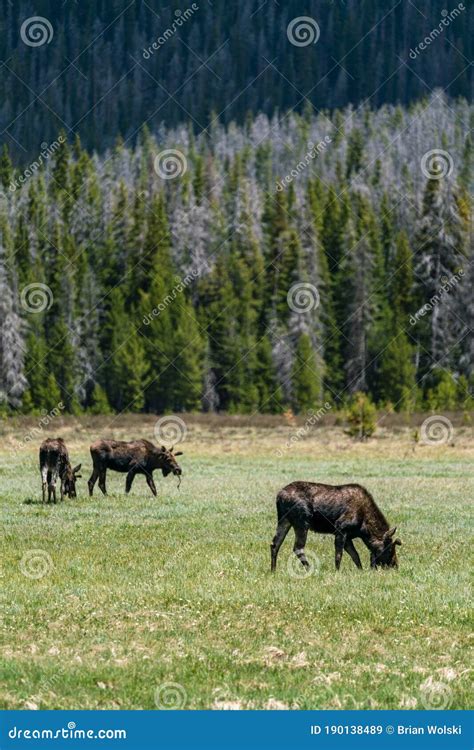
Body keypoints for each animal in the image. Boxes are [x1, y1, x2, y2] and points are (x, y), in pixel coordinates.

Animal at [270, 482, 400, 576]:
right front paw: (337, 572)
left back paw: (273, 571)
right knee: (298, 548)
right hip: (302, 522)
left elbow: (355, 555)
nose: (395, 565)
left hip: (284, 520)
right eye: (390, 549)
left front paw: (361, 570)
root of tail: (278, 496)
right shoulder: (340, 529)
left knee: (275, 544)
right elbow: (339, 555)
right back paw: (311, 570)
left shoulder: (348, 537)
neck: (364, 530)